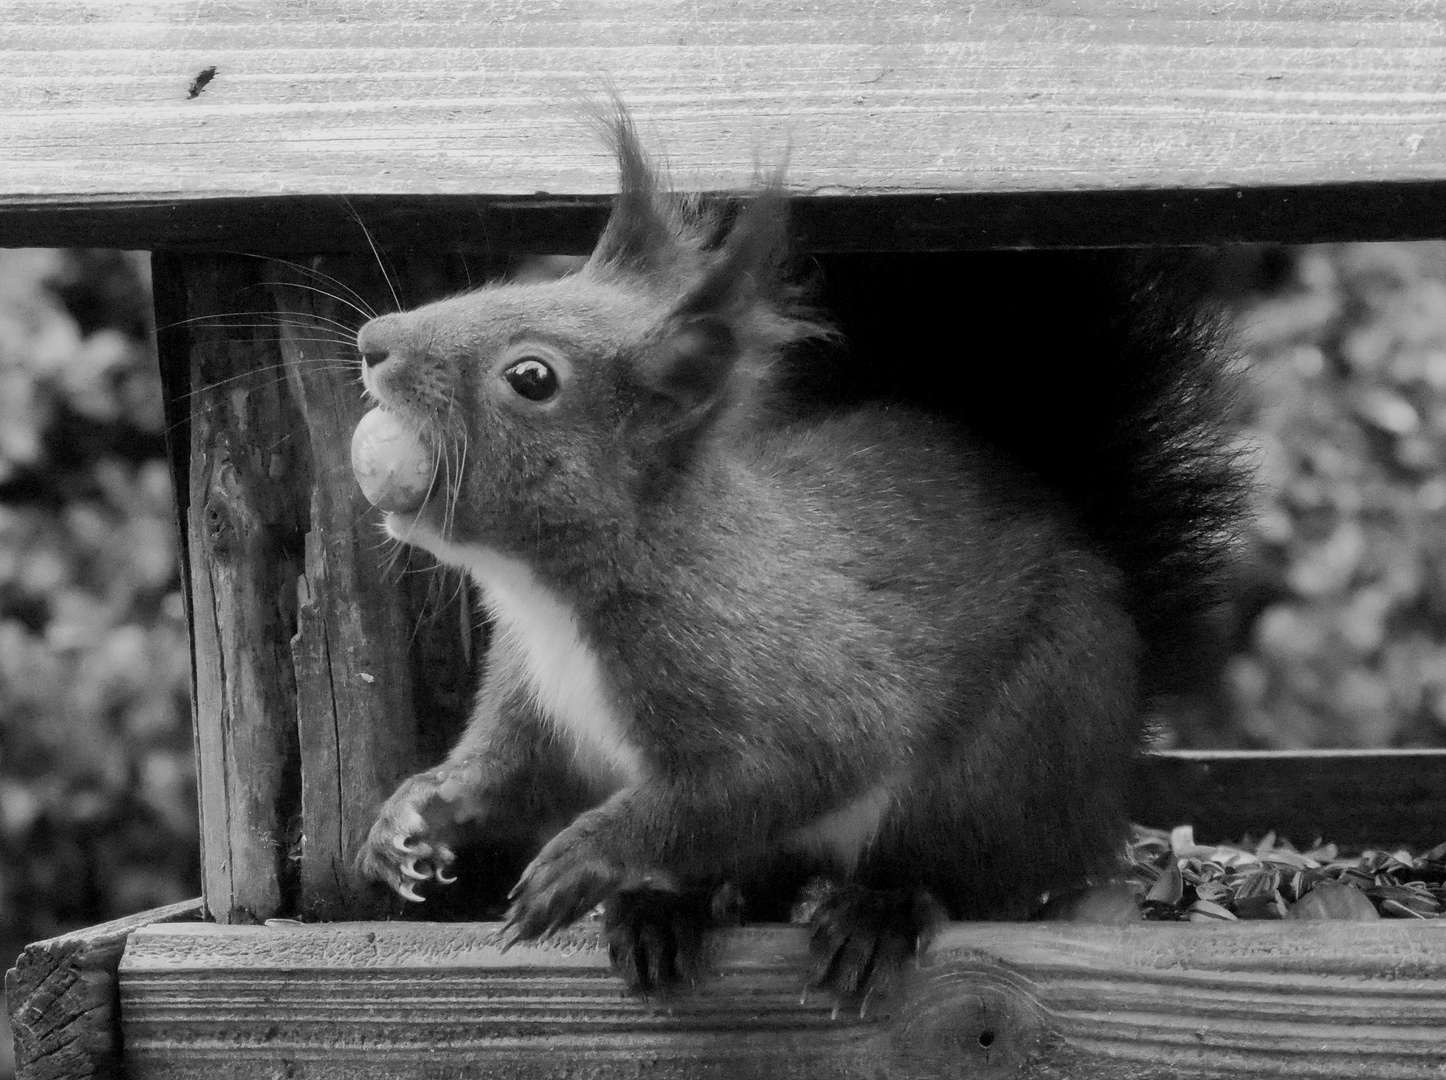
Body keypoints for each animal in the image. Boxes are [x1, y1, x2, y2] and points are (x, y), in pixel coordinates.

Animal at [355, 107, 1249, 994]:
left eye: (532, 378)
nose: (373, 339)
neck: (548, 597)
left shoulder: (762, 670)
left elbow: (767, 776)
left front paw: (584, 857)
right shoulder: (530, 696)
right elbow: (504, 770)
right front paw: (414, 812)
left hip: (1010, 753)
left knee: (959, 872)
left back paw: (874, 914)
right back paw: (665, 912)